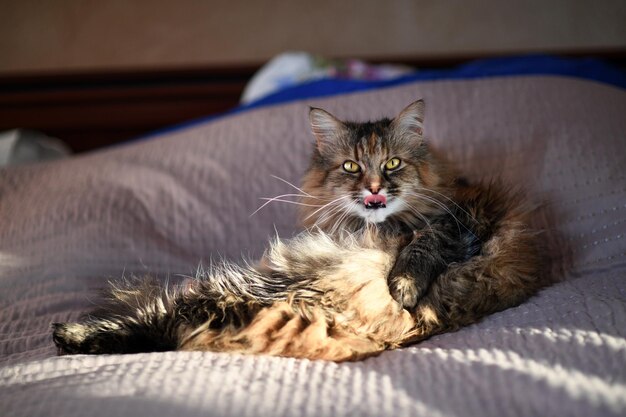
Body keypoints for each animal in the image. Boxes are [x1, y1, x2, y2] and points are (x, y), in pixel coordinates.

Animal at [51, 100, 544, 360]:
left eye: (391, 164)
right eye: (350, 167)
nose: (374, 187)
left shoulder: (462, 222)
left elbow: (424, 245)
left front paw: (403, 286)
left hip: (251, 283)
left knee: (159, 320)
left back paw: (70, 334)